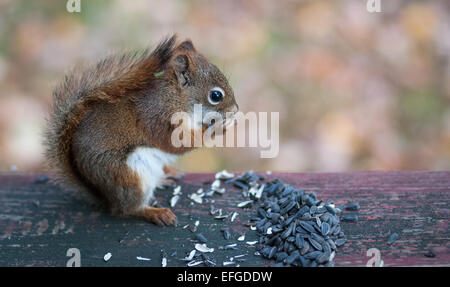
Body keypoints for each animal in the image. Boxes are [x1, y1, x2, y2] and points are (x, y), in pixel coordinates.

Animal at [42, 35, 239, 226]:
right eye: (215, 95)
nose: (235, 110)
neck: (176, 97)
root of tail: (105, 197)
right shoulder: (159, 118)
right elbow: (177, 144)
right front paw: (218, 127)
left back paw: (165, 177)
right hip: (127, 176)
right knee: (127, 209)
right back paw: (155, 213)